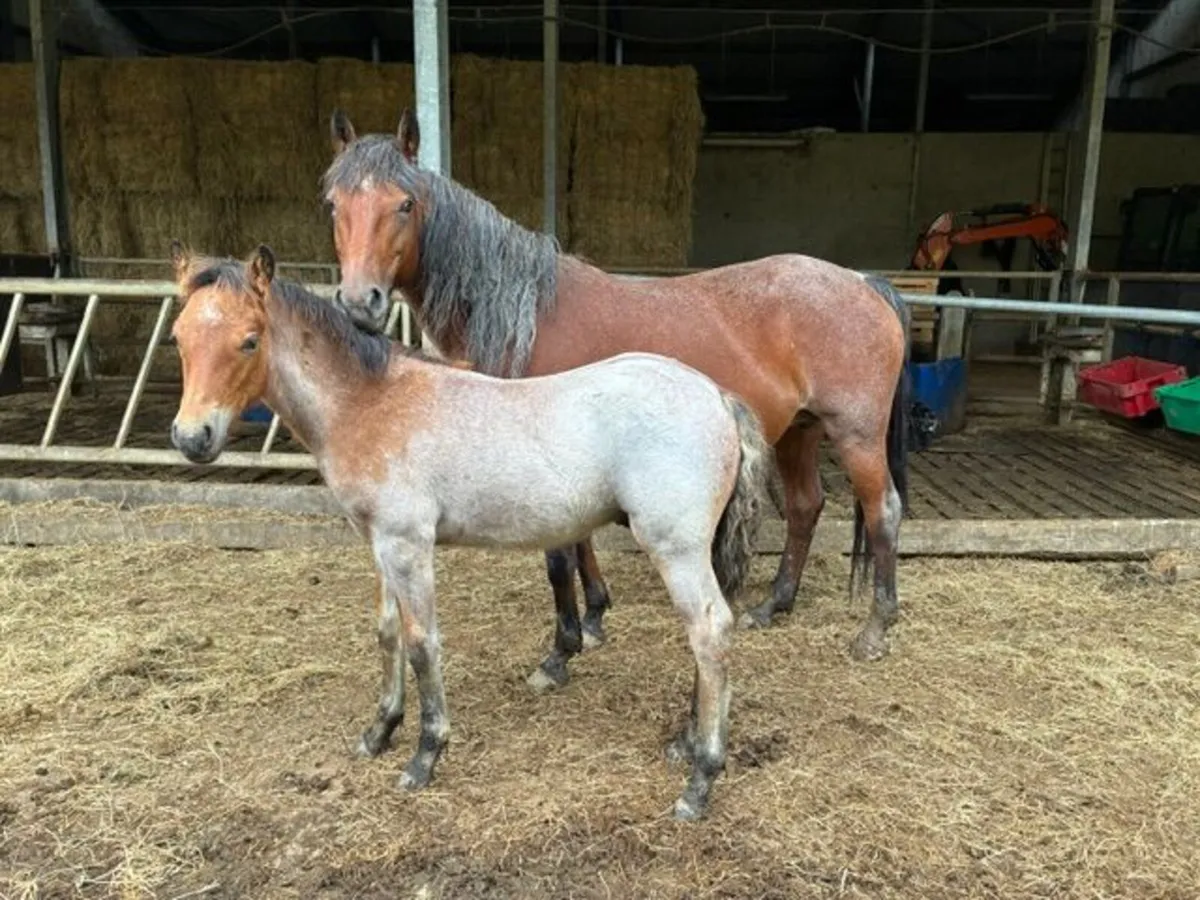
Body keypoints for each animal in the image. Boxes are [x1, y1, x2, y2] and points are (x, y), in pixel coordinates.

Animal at [166, 242, 769, 821]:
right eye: (178, 338)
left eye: (249, 341)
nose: (192, 438)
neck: (371, 403)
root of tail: (716, 397)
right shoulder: (379, 544)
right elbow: (388, 633)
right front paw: (379, 731)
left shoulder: (409, 545)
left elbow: (421, 643)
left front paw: (425, 754)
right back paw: (686, 743)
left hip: (675, 547)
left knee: (709, 631)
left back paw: (700, 781)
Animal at [321, 108, 911, 690]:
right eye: (332, 203)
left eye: (404, 203)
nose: (358, 303)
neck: (527, 314)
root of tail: (862, 281)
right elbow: (580, 543)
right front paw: (595, 617)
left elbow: (561, 557)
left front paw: (561, 652)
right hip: (798, 431)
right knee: (806, 506)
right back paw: (773, 605)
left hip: (856, 434)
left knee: (882, 511)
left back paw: (875, 630)